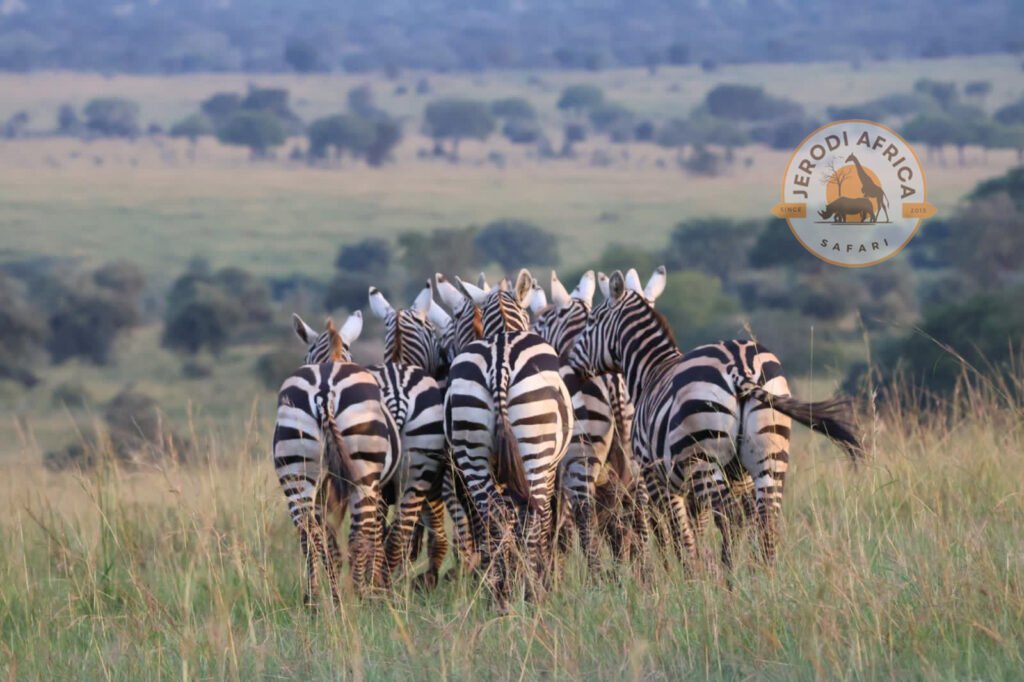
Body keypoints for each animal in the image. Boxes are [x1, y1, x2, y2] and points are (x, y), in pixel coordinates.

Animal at [274, 312, 398, 603]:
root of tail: (324, 390)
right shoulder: (379, 487)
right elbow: (373, 534)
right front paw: (373, 586)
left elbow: (328, 541)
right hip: (363, 473)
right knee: (358, 536)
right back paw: (361, 597)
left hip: (295, 469)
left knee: (308, 534)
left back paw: (317, 600)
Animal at [437, 269, 574, 605]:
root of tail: (499, 363)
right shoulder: (551, 467)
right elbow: (543, 519)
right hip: (536, 450)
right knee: (531, 513)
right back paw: (531, 589)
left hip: (471, 451)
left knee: (495, 514)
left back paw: (500, 591)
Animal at [528, 270, 649, 573]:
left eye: (541, 323)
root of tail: (614, 379)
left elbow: (556, 529)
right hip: (633, 460)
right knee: (637, 513)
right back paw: (645, 573)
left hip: (581, 458)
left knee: (585, 518)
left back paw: (596, 576)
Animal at [569, 269, 862, 570]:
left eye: (591, 323)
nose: (571, 363)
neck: (650, 371)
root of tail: (740, 369)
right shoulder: (738, 475)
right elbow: (715, 525)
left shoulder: (655, 473)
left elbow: (679, 531)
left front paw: (690, 575)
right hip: (770, 453)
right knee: (766, 517)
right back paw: (763, 575)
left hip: (703, 459)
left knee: (728, 517)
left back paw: (731, 575)